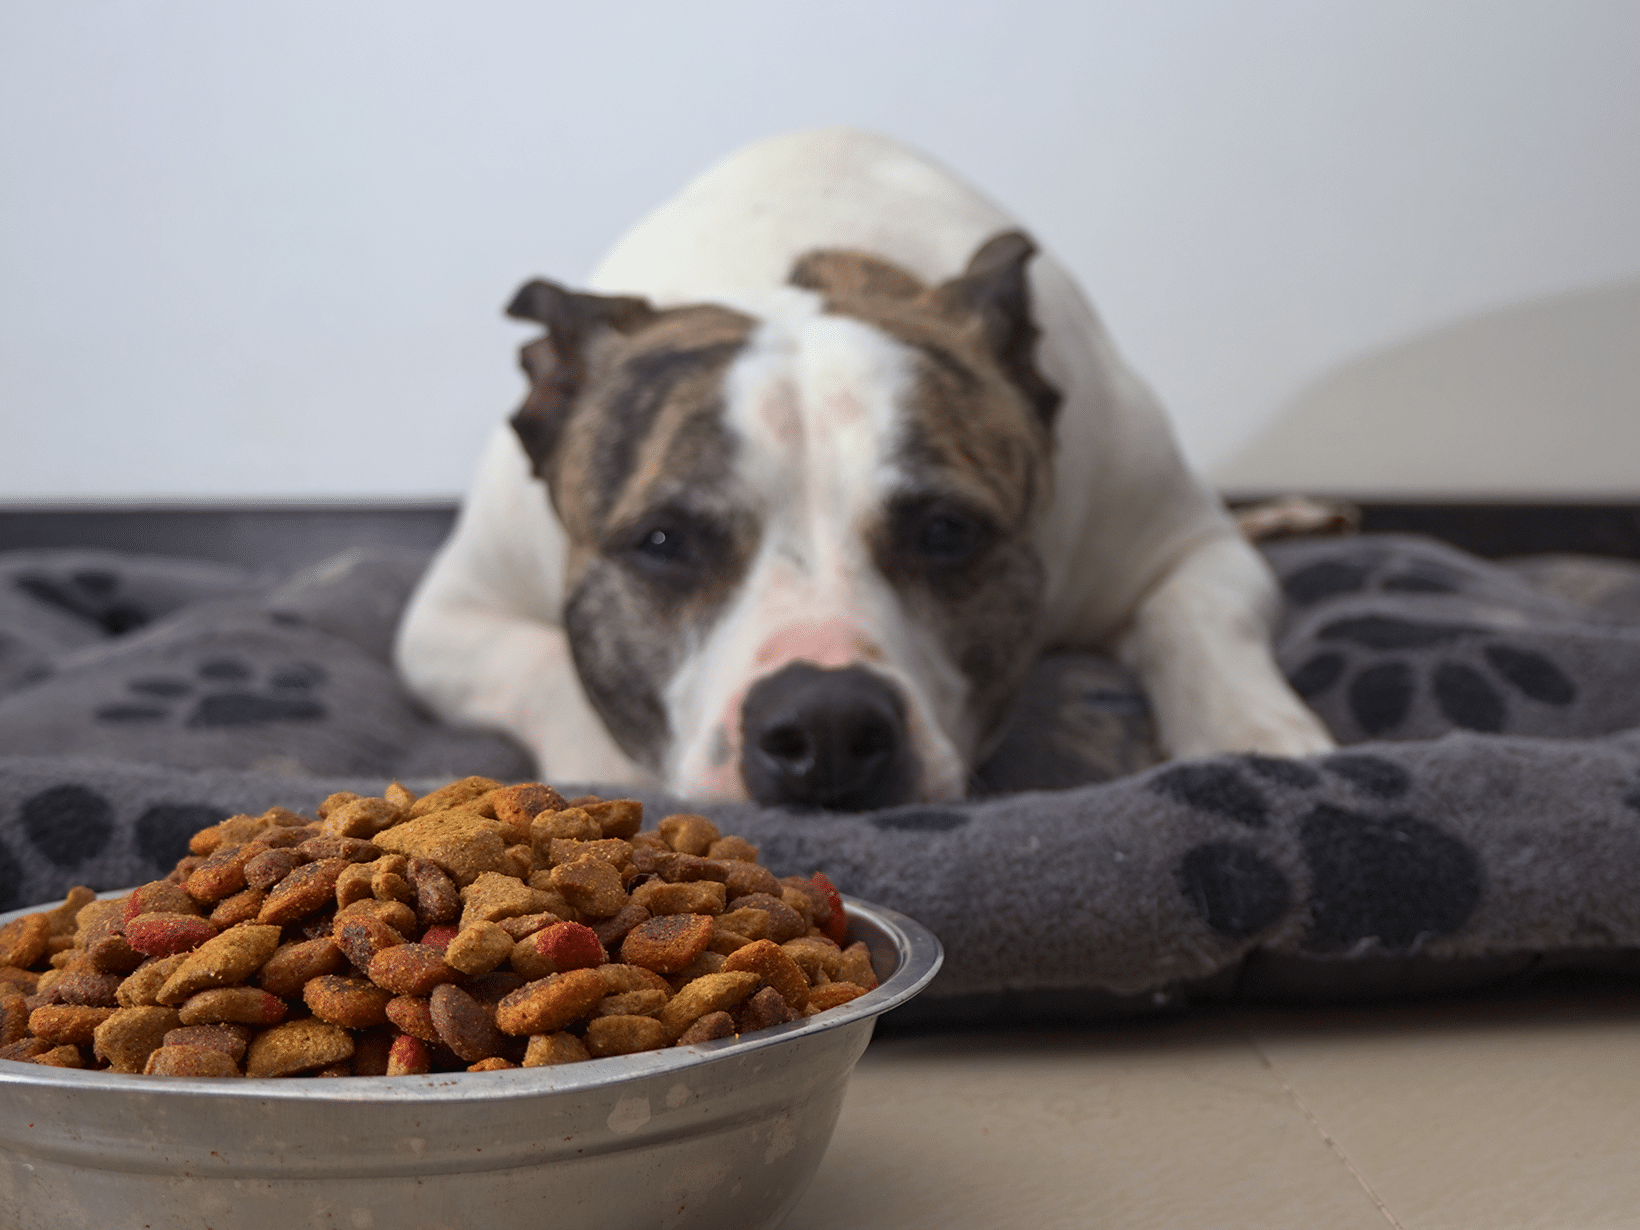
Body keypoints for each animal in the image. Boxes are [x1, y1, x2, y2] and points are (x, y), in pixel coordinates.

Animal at [396, 127, 1331, 810]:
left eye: (947, 532)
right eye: (663, 541)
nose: (828, 723)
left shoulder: (1185, 543)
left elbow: (1196, 617)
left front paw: (1256, 734)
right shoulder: (451, 616)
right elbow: (545, 665)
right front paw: (607, 771)